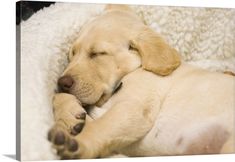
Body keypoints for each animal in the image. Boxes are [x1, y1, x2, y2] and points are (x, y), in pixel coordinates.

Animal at [47, 4, 235, 159]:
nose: (61, 83)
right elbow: (57, 97)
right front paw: (69, 115)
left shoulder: (133, 110)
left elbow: (100, 127)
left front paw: (78, 143)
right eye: (72, 54)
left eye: (98, 53)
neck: (132, 71)